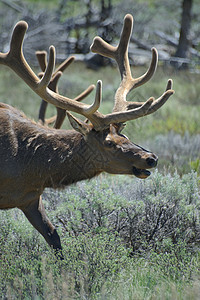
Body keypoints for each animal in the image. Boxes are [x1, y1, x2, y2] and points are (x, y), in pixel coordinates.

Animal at [0, 14, 173, 258]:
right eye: (108, 142)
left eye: (125, 135)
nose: (151, 158)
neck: (27, 166)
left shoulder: (30, 198)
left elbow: (54, 238)